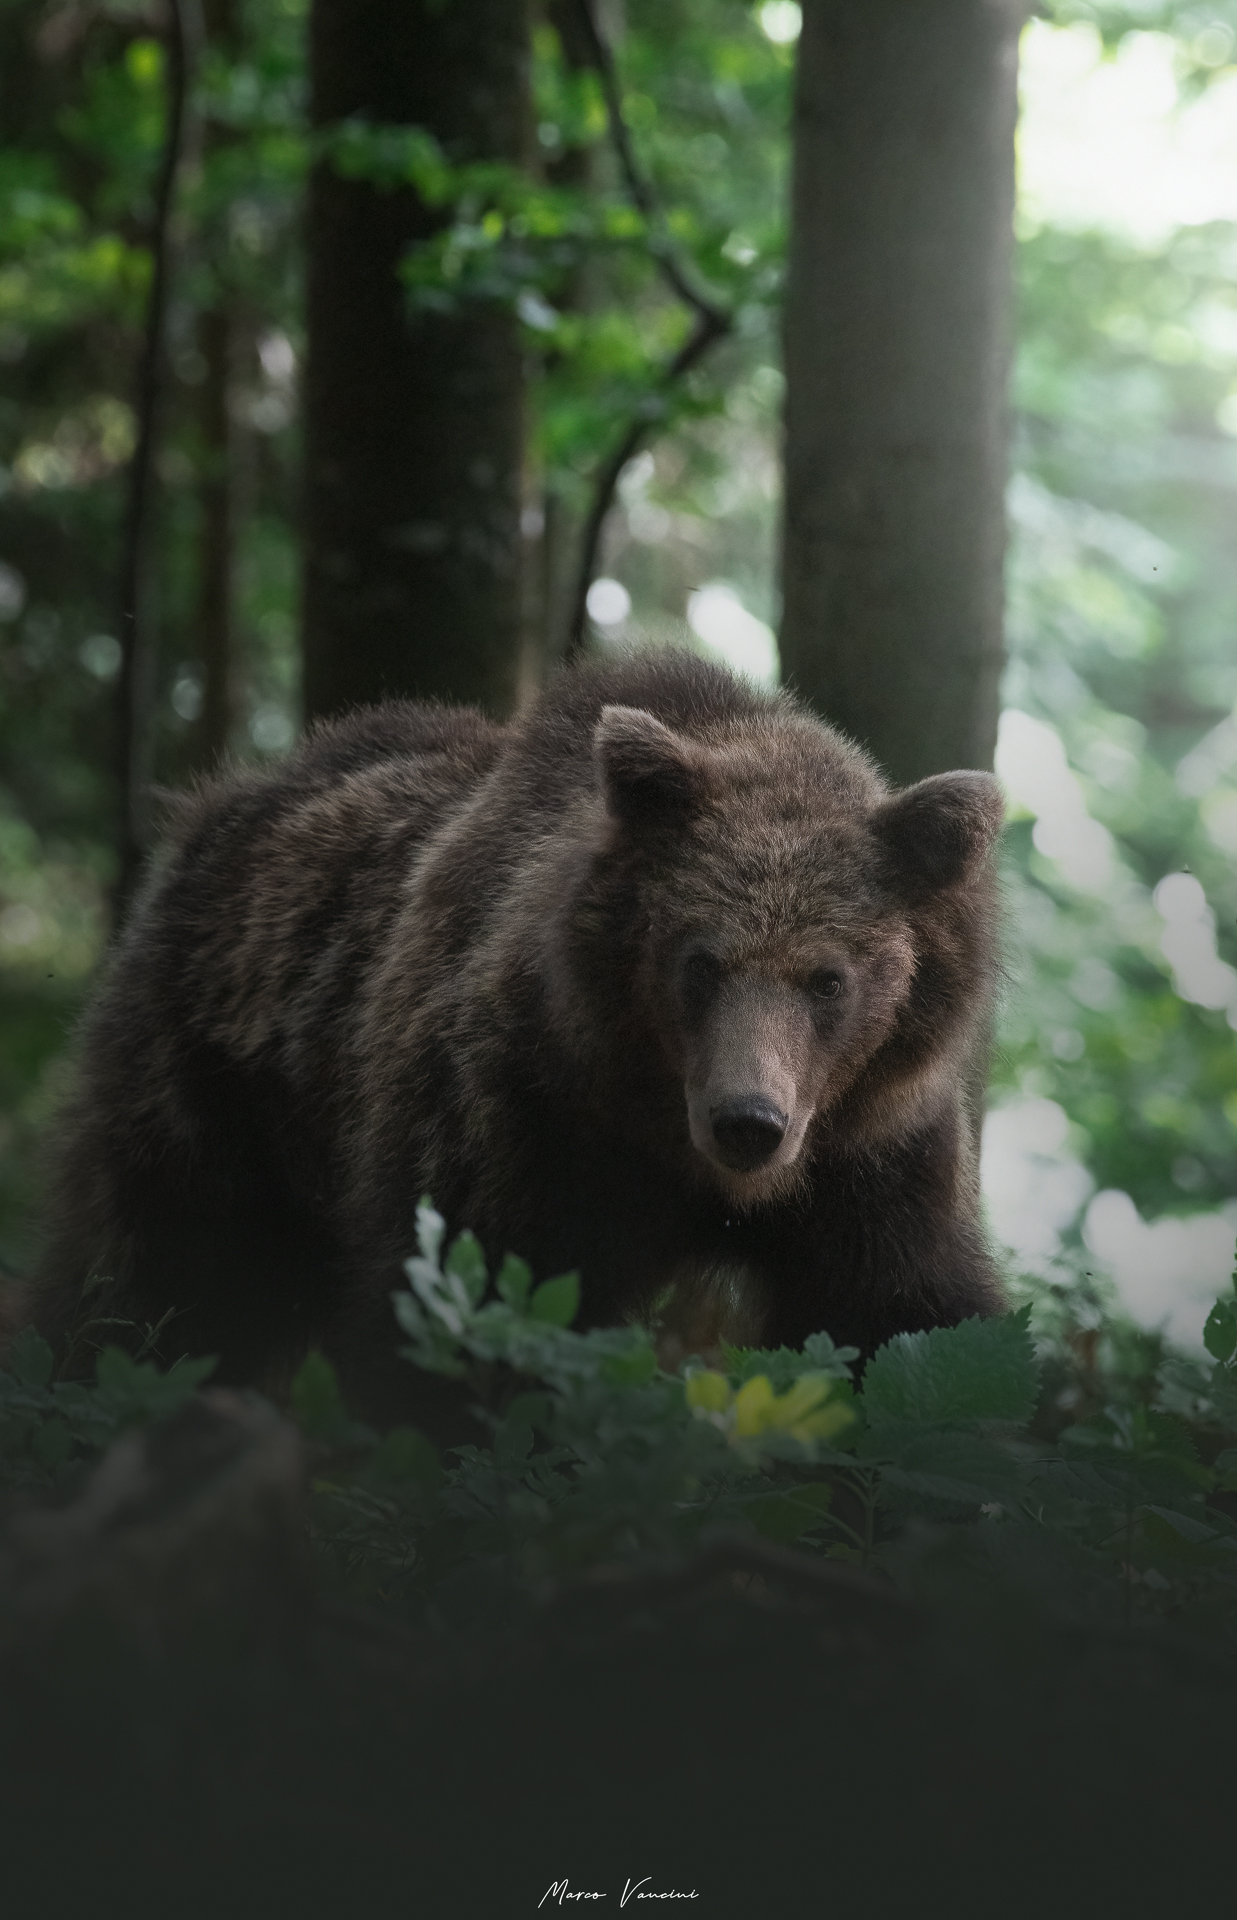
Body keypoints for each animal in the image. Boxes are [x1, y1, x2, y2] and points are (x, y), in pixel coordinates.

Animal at [27, 651, 1006, 1404]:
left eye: (827, 979)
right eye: (698, 961)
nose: (746, 1122)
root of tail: (218, 800)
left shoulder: (873, 1157)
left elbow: (906, 1329)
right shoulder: (516, 1121)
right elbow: (459, 1321)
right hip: (209, 1078)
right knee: (156, 1281)